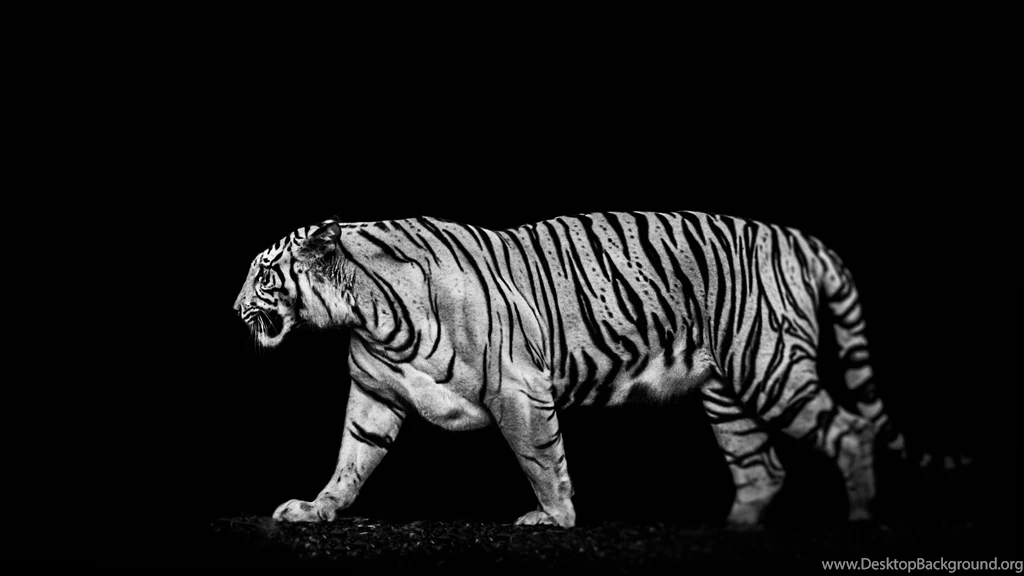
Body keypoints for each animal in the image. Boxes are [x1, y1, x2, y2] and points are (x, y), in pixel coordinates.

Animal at [232, 211, 906, 528]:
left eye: (263, 274)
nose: (234, 309)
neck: (367, 312)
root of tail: (793, 236)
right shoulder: (377, 395)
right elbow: (351, 460)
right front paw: (316, 509)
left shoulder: (518, 388)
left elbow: (540, 459)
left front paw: (553, 519)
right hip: (728, 395)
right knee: (762, 468)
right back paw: (733, 526)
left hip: (767, 366)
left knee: (850, 431)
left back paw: (861, 518)